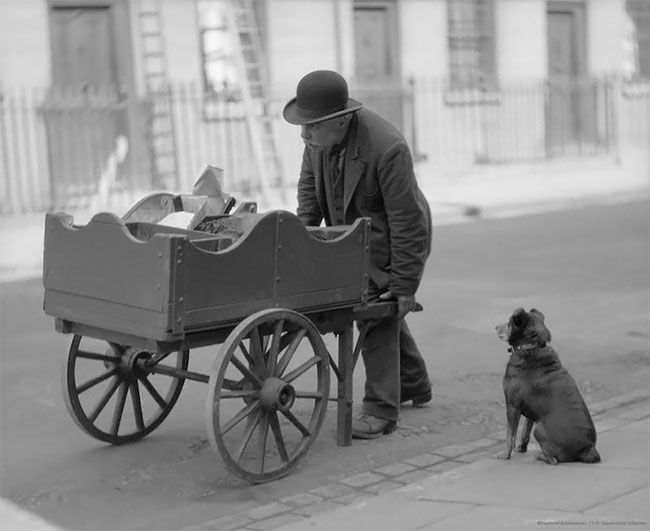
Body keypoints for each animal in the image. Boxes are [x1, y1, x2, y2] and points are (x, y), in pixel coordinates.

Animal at [494, 308, 600, 466]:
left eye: (509, 322)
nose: (495, 327)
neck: (531, 346)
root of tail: (587, 448)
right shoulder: (530, 410)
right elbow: (524, 431)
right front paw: (521, 448)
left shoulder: (512, 405)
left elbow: (510, 435)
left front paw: (505, 455)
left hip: (539, 429)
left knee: (555, 460)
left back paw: (540, 456)